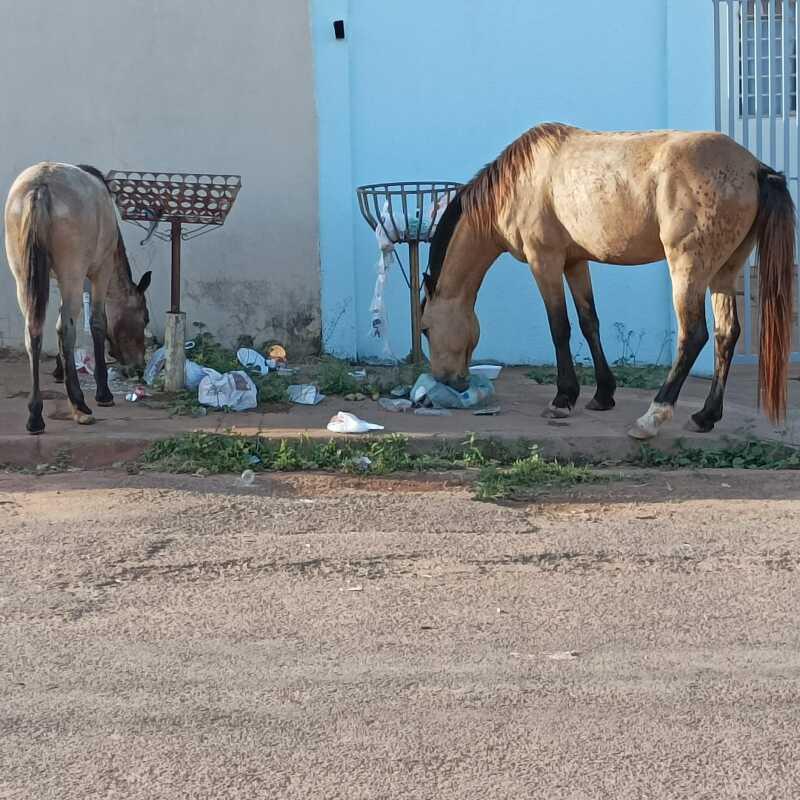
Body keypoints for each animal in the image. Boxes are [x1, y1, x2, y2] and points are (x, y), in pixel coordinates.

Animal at [5, 163, 152, 434]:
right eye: (144, 318)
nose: (138, 367)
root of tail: (40, 187)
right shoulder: (98, 272)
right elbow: (96, 322)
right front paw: (103, 392)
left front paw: (59, 369)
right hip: (71, 273)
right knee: (64, 329)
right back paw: (79, 403)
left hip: (23, 277)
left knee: (34, 331)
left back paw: (35, 414)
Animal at [418, 122, 792, 440]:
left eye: (424, 329)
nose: (446, 381)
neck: (519, 182)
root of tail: (755, 168)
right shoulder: (575, 262)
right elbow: (589, 323)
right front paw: (602, 394)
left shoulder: (545, 262)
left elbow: (560, 327)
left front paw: (562, 399)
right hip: (723, 272)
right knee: (725, 334)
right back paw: (705, 416)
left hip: (688, 269)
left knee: (693, 335)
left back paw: (651, 417)